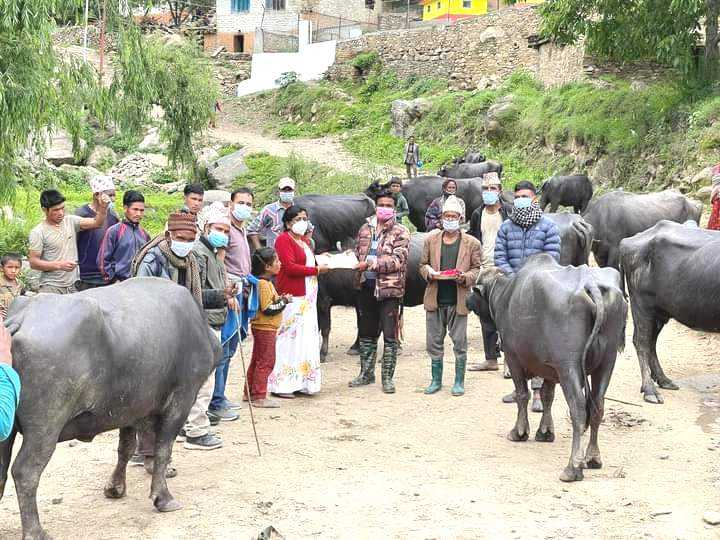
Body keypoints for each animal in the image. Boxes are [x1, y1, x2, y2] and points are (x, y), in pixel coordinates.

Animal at [1, 278, 221, 540]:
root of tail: (20, 319)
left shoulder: (130, 409)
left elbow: (125, 449)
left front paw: (115, 488)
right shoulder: (181, 399)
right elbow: (162, 449)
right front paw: (163, 498)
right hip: (45, 427)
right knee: (25, 472)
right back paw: (36, 532)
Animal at [466, 255, 624, 484]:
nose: (467, 301)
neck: (505, 294)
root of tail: (590, 284)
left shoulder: (513, 358)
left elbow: (523, 395)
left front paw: (519, 432)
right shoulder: (550, 368)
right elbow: (548, 396)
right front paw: (545, 432)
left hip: (569, 366)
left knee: (578, 409)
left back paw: (573, 467)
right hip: (606, 363)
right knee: (597, 407)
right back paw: (593, 457)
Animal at [620, 221, 720, 402]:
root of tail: (628, 241)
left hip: (660, 312)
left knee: (651, 342)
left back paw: (663, 380)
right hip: (642, 306)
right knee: (642, 342)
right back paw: (650, 390)